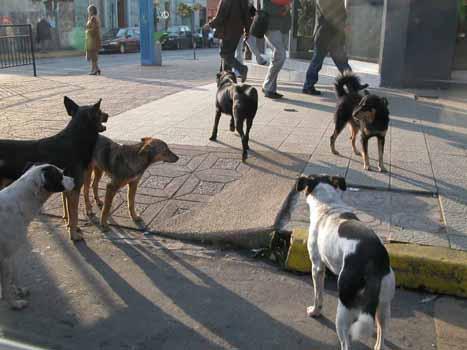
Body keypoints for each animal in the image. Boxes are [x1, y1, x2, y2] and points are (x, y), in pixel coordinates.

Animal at [0, 97, 109, 242]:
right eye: (100, 111)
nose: (107, 115)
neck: (76, 139)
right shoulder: (74, 189)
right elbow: (74, 215)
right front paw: (74, 235)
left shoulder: (67, 187)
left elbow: (69, 213)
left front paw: (70, 228)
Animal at [0, 164, 73, 308]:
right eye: (61, 176)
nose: (74, 180)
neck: (18, 203)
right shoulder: (5, 258)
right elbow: (6, 287)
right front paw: (14, 304)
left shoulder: (11, 254)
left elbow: (15, 274)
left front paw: (19, 290)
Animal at [296, 175, 394, 350]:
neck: (328, 206)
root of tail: (373, 260)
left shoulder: (317, 267)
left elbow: (318, 296)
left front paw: (315, 311)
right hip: (384, 305)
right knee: (381, 334)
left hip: (343, 309)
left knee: (346, 343)